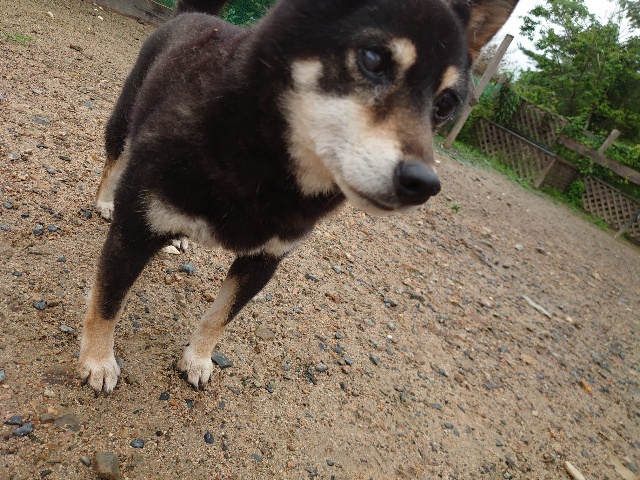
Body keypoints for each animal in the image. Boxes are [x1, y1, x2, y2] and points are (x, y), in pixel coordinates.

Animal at [79, 0, 519, 393]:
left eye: (445, 104)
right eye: (373, 59)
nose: (424, 183)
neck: (267, 170)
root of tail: (196, 14)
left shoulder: (264, 260)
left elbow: (220, 316)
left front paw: (198, 358)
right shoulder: (134, 230)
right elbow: (108, 302)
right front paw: (98, 361)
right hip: (124, 122)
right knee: (113, 161)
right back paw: (105, 201)